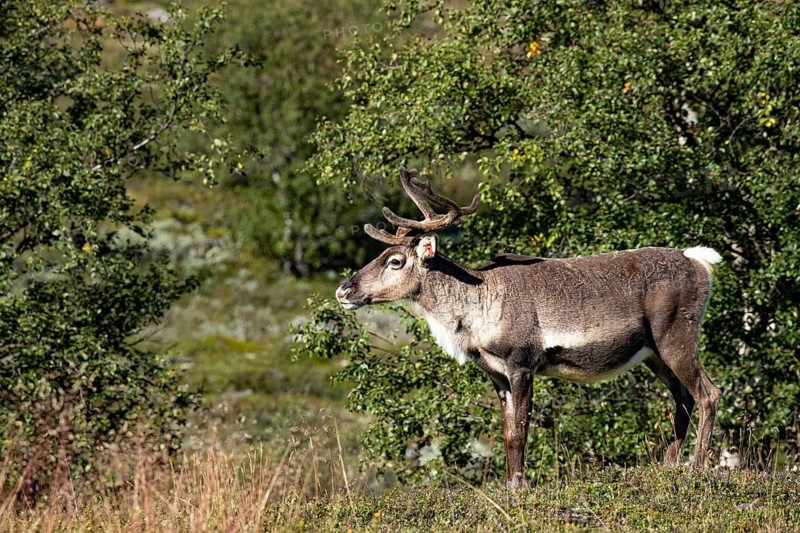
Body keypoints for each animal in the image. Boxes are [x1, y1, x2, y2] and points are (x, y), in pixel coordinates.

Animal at [336, 167, 722, 489]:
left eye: (395, 261)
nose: (343, 291)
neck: (475, 310)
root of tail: (698, 260)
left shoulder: (522, 363)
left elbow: (520, 430)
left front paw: (520, 485)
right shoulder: (496, 374)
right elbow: (507, 432)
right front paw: (509, 485)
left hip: (676, 334)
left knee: (708, 392)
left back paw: (696, 466)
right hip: (653, 352)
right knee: (683, 396)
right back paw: (669, 463)